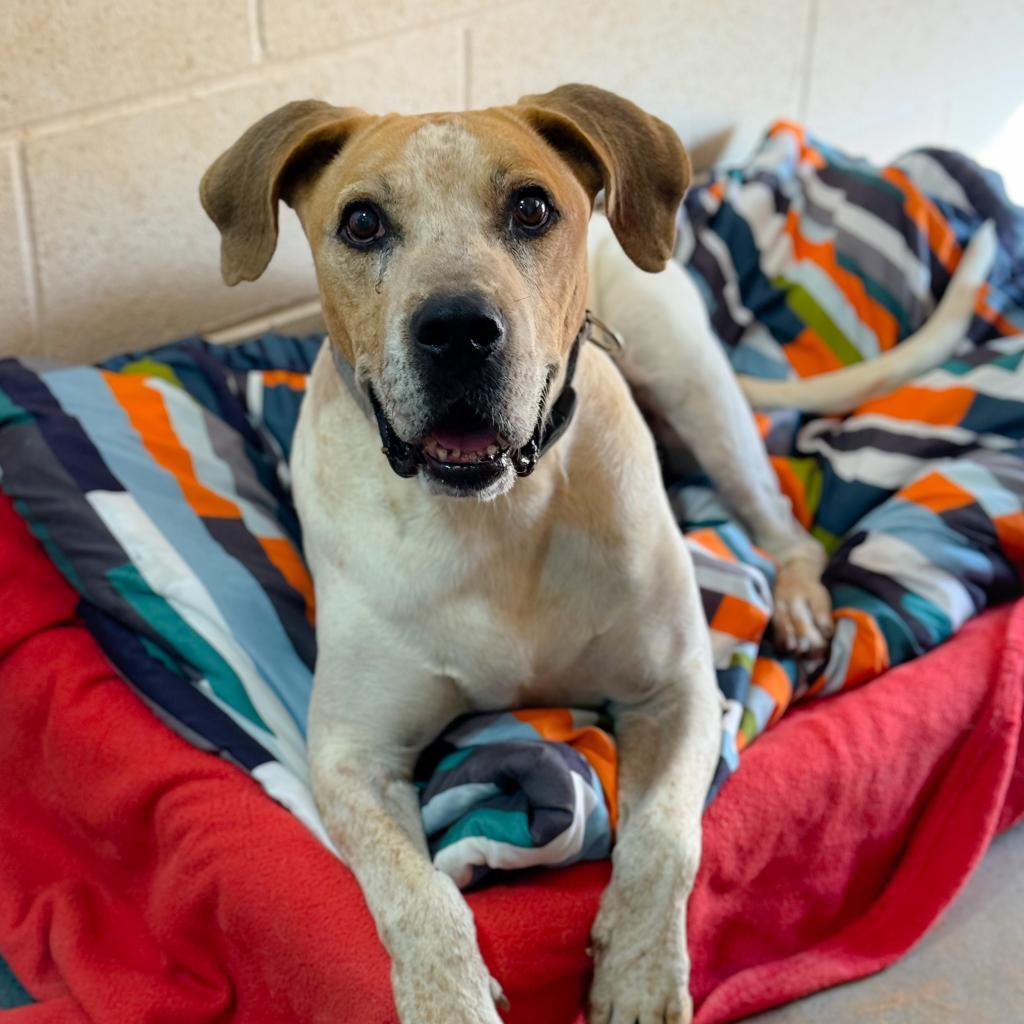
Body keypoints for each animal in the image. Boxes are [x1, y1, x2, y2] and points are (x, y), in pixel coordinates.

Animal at [199, 83, 991, 1019]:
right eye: (361, 223)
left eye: (532, 207)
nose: (459, 329)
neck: (495, 520)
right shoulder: (352, 757)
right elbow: (417, 895)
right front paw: (448, 997)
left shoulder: (675, 692)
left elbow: (663, 839)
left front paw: (641, 974)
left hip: (693, 381)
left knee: (779, 518)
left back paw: (799, 603)